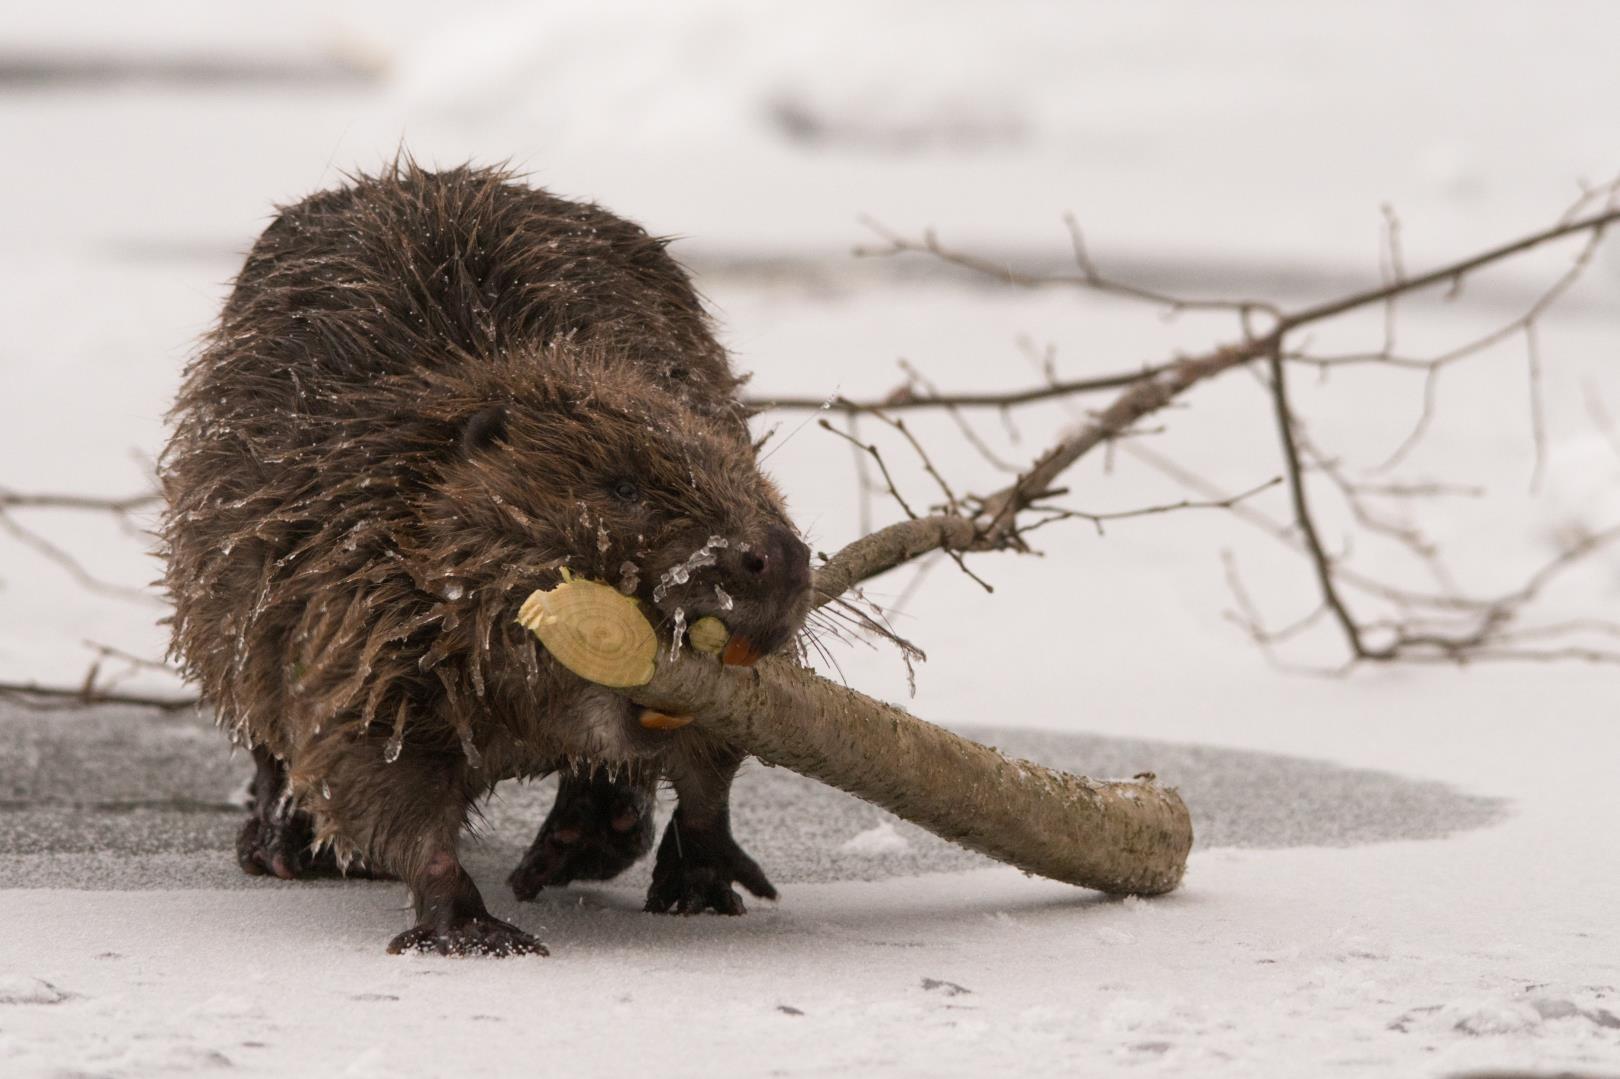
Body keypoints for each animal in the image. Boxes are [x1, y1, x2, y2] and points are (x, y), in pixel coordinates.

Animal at [159, 159, 816, 952]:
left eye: (745, 470)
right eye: (623, 486)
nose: (781, 558)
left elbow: (713, 764)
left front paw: (701, 874)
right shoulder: (352, 597)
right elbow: (366, 763)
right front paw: (473, 928)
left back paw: (586, 834)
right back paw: (284, 844)